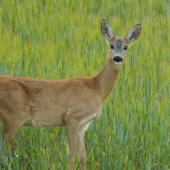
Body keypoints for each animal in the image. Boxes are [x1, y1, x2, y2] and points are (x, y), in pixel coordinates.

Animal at [0, 19, 141, 169]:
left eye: (126, 47)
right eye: (111, 45)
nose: (118, 58)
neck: (97, 89)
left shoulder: (83, 125)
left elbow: (83, 155)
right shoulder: (72, 116)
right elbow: (71, 152)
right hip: (14, 115)